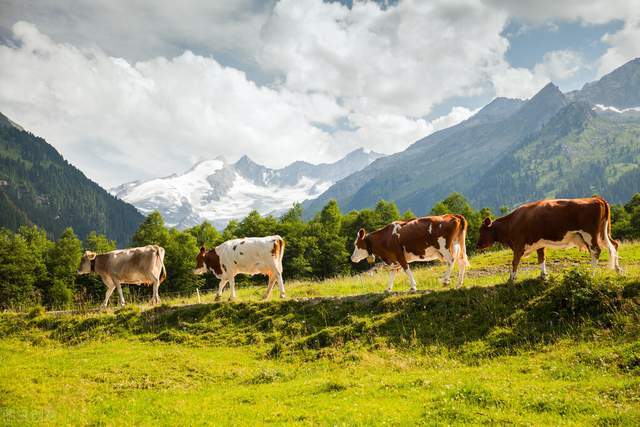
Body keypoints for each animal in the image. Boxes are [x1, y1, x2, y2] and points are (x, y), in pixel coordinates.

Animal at [478, 196, 624, 282]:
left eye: (482, 231)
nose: (477, 245)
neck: (511, 223)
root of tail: (596, 198)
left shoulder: (518, 244)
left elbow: (515, 262)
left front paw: (511, 278)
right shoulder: (539, 243)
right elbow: (541, 259)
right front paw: (543, 275)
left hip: (590, 234)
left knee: (596, 251)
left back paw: (591, 274)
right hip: (604, 232)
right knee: (614, 245)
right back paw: (618, 270)